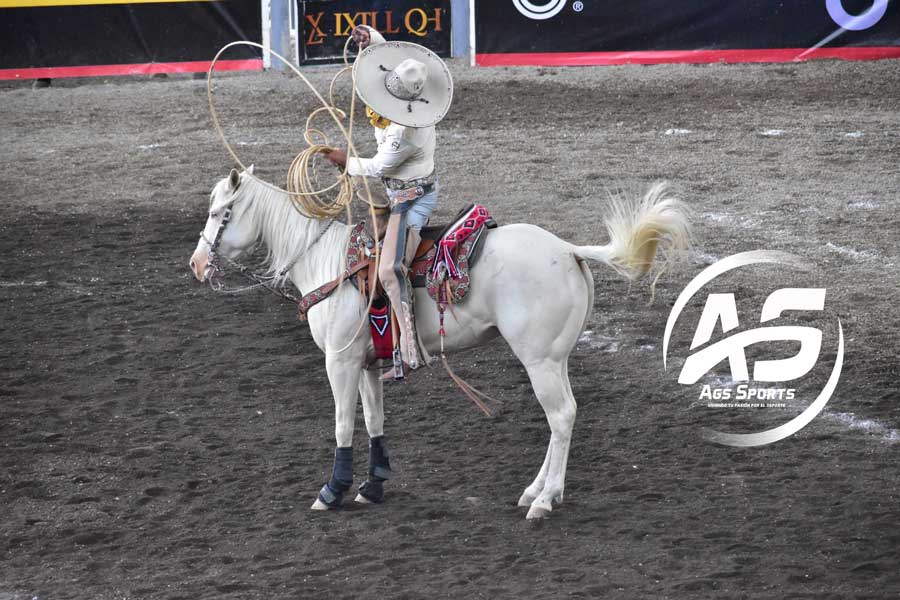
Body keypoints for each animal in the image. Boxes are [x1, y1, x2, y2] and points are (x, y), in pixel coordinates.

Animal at [190, 169, 692, 520]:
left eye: (219, 214)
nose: (196, 264)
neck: (328, 263)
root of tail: (568, 250)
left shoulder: (340, 361)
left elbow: (342, 425)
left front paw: (331, 492)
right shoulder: (368, 364)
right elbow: (373, 420)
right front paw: (372, 487)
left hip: (539, 360)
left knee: (561, 416)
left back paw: (544, 500)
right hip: (556, 358)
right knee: (561, 417)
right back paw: (536, 490)